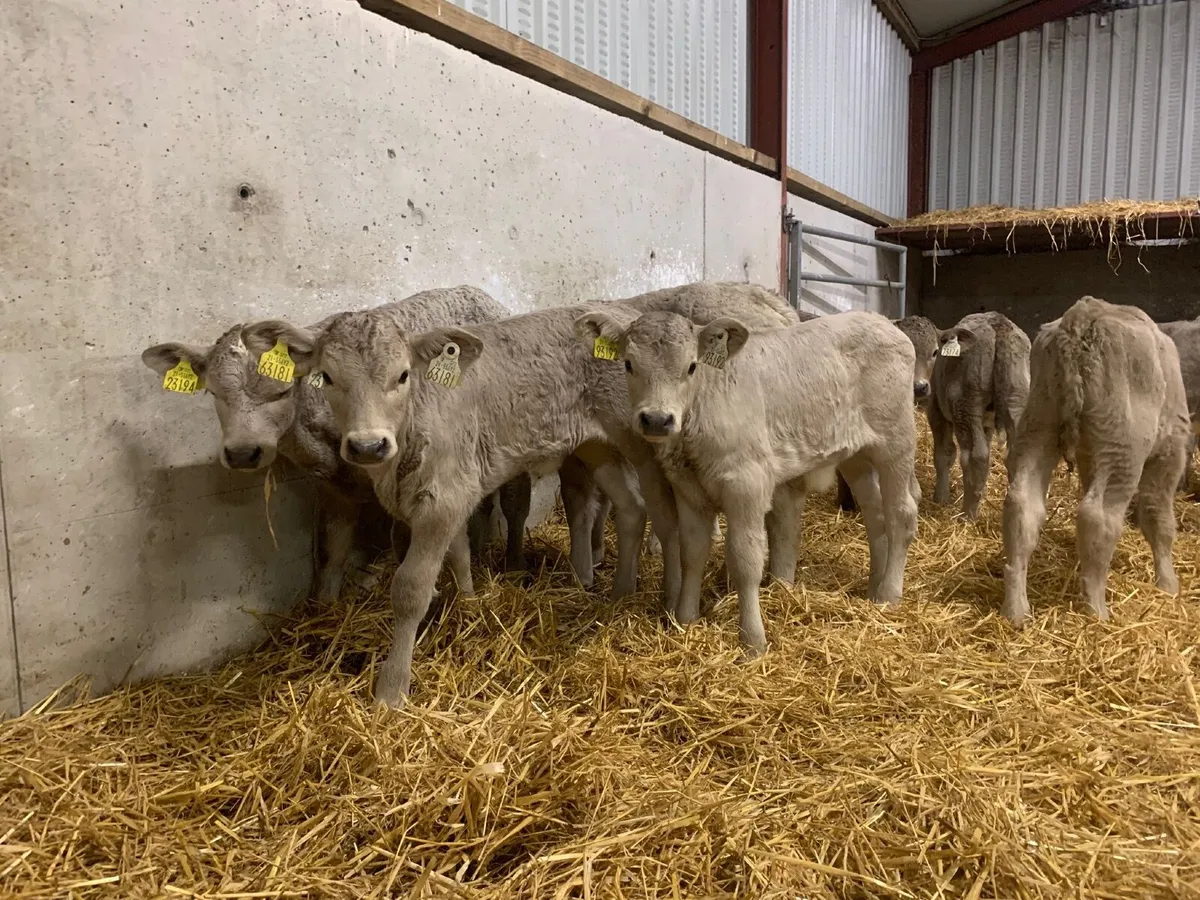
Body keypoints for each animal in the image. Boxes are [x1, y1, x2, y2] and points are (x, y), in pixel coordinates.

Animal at [240, 281, 800, 706]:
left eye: (401, 375)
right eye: (326, 377)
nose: (367, 444)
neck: (414, 423)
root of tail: (625, 315)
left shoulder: (444, 495)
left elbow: (410, 588)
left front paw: (391, 689)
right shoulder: (443, 491)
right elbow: (455, 556)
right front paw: (466, 604)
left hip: (642, 442)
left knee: (663, 515)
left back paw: (668, 600)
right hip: (596, 445)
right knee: (629, 507)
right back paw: (617, 590)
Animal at [588, 308, 919, 656]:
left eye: (691, 366)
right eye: (628, 364)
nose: (656, 419)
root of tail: (881, 320)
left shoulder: (746, 483)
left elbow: (745, 559)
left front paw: (752, 640)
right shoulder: (687, 489)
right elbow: (692, 552)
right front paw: (686, 619)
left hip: (896, 441)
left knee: (901, 513)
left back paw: (889, 594)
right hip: (857, 454)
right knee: (875, 515)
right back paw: (874, 586)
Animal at [929, 311, 1030, 520]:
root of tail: (999, 324)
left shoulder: (936, 410)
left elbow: (944, 453)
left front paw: (940, 498)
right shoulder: (987, 423)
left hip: (966, 404)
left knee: (976, 456)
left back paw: (967, 515)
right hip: (1017, 398)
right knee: (1017, 457)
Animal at [1002, 297, 1190, 627]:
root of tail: (1082, 317)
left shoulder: (1090, 457)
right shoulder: (1169, 451)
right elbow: (1159, 517)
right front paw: (1168, 584)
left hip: (1039, 421)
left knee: (1022, 505)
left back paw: (1016, 610)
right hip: (1122, 446)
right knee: (1097, 516)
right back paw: (1096, 609)